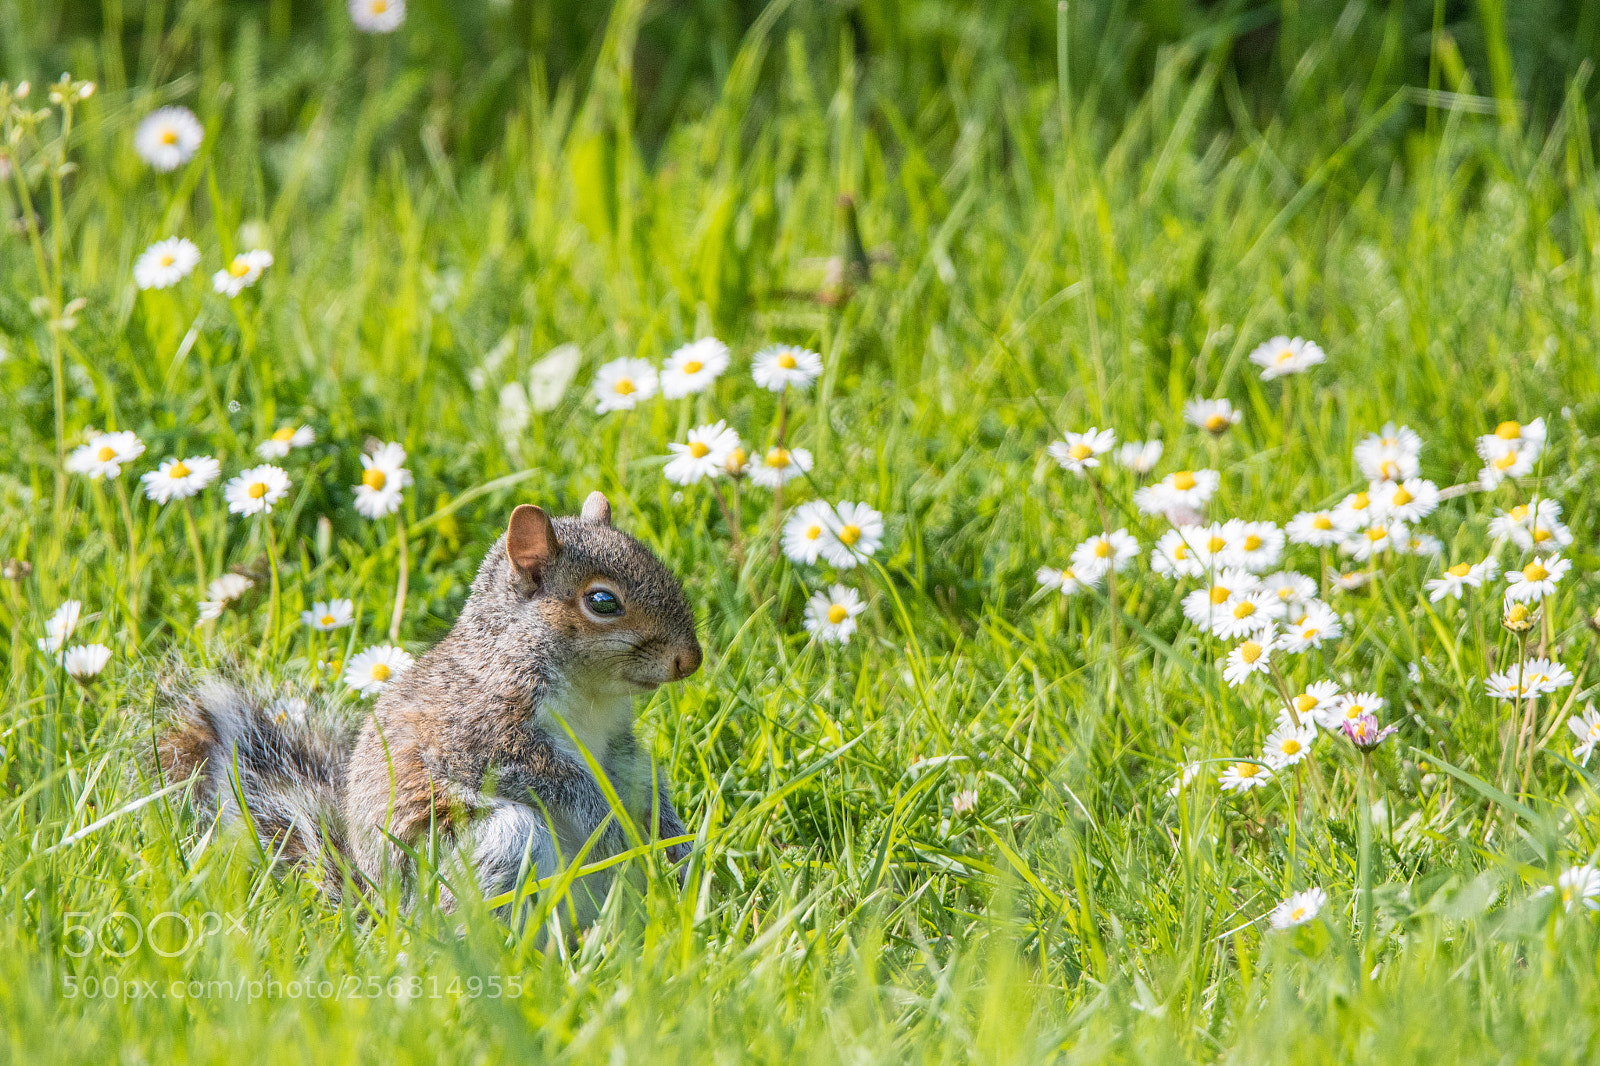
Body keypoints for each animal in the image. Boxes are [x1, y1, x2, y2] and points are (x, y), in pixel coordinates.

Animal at [158, 491, 703, 920]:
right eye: (603, 602)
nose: (690, 660)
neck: (590, 693)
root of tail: (384, 915)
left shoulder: (616, 744)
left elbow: (642, 782)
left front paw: (676, 847)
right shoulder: (481, 733)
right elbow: (555, 781)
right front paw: (613, 826)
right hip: (485, 847)